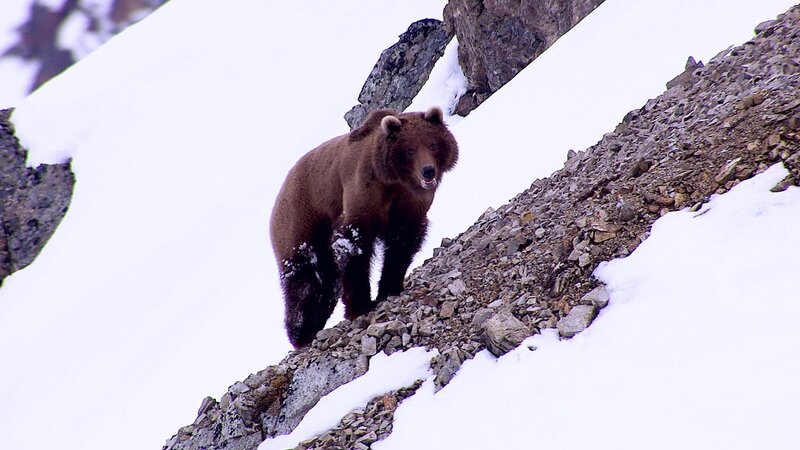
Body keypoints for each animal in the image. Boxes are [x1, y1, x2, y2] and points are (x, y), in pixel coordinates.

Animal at [270, 106, 458, 348]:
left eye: (432, 144)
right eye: (410, 149)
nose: (428, 171)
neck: (393, 181)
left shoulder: (410, 204)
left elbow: (403, 243)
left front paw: (389, 287)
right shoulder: (363, 192)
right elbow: (354, 245)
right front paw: (360, 304)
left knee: (326, 282)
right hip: (301, 218)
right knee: (303, 278)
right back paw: (300, 333)